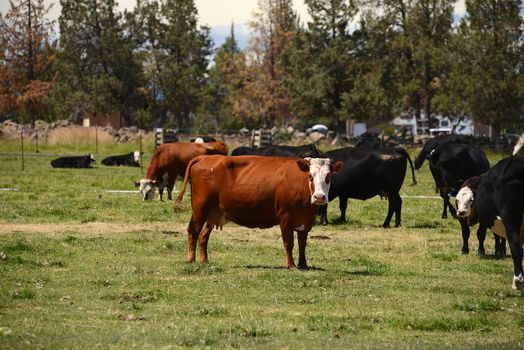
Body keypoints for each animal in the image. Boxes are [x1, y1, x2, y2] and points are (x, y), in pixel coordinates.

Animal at [176, 154, 344, 270]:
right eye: (310, 176)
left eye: (328, 176)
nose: (319, 197)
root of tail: (205, 157)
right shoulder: (285, 218)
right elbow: (289, 243)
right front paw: (291, 265)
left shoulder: (306, 220)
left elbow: (302, 244)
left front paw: (303, 264)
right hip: (200, 209)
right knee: (193, 230)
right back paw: (191, 259)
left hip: (213, 213)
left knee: (203, 235)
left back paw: (205, 260)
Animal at [454, 135, 524, 292]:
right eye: (457, 200)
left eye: (471, 200)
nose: (461, 211)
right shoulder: (462, 220)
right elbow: (465, 234)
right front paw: (465, 249)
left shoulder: (483, 221)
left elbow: (480, 235)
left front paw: (481, 251)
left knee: (508, 241)